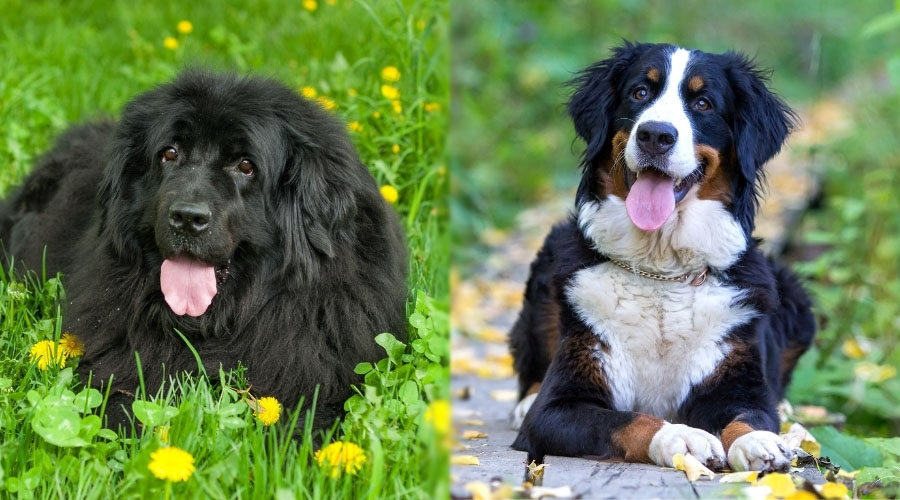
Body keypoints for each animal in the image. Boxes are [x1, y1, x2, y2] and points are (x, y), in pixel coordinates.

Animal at [506, 43, 816, 472]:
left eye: (703, 103)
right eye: (640, 93)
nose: (655, 135)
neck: (661, 270)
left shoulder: (735, 381)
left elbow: (748, 416)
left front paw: (759, 442)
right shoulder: (559, 406)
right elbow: (627, 419)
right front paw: (682, 437)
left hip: (795, 298)